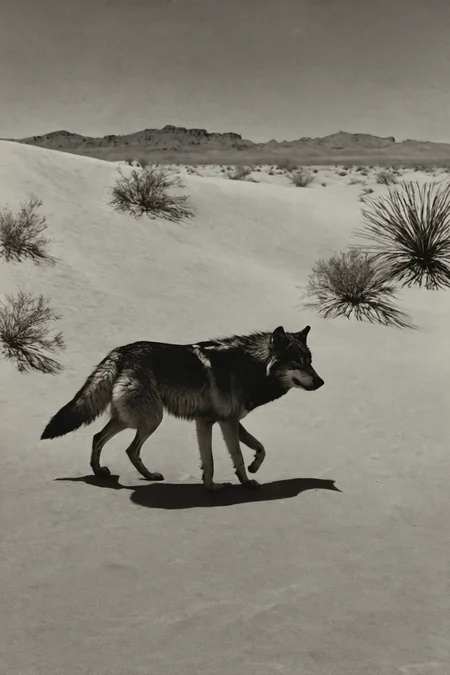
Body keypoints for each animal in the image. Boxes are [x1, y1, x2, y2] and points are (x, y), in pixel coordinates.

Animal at [40, 325, 324, 490]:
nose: (321, 382)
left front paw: (223, 481)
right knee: (129, 448)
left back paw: (102, 472)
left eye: (310, 361)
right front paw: (242, 482)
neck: (249, 368)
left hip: (128, 419)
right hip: (151, 419)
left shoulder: (214, 421)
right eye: (298, 362)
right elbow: (236, 456)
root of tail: (120, 352)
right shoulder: (225, 422)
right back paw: (144, 476)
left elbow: (254, 449)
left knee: (99, 437)